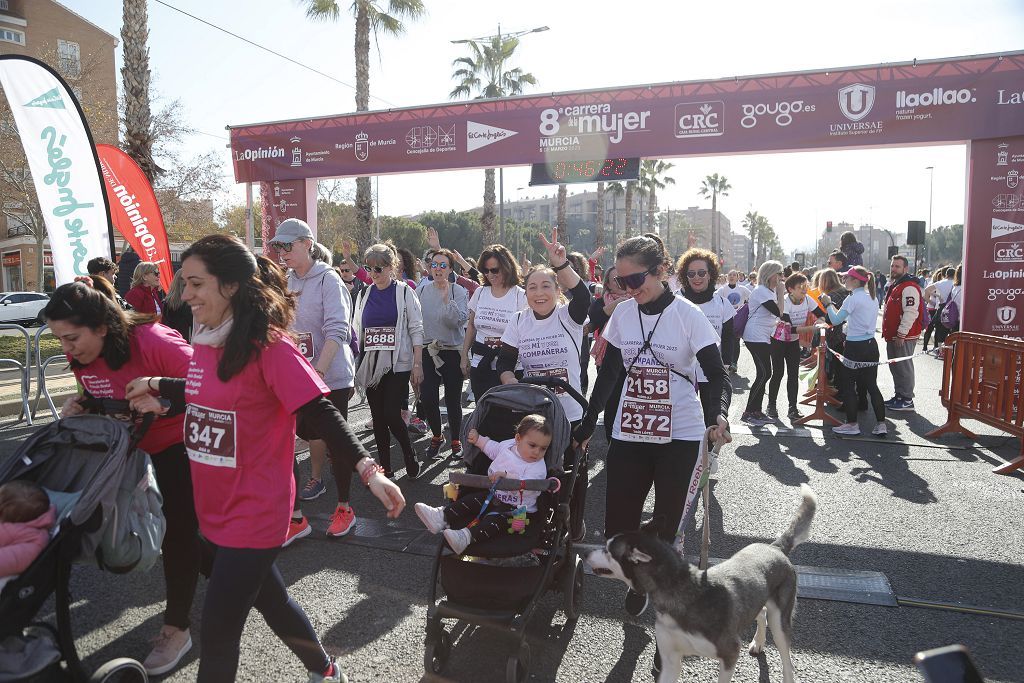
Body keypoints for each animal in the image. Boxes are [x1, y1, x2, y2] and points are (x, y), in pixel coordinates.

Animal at [585, 483, 815, 679]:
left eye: (608, 550)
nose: (584, 553)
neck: (681, 592)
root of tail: (775, 547)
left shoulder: (730, 654)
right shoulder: (670, 659)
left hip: (781, 622)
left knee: (787, 660)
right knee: (761, 613)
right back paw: (758, 642)